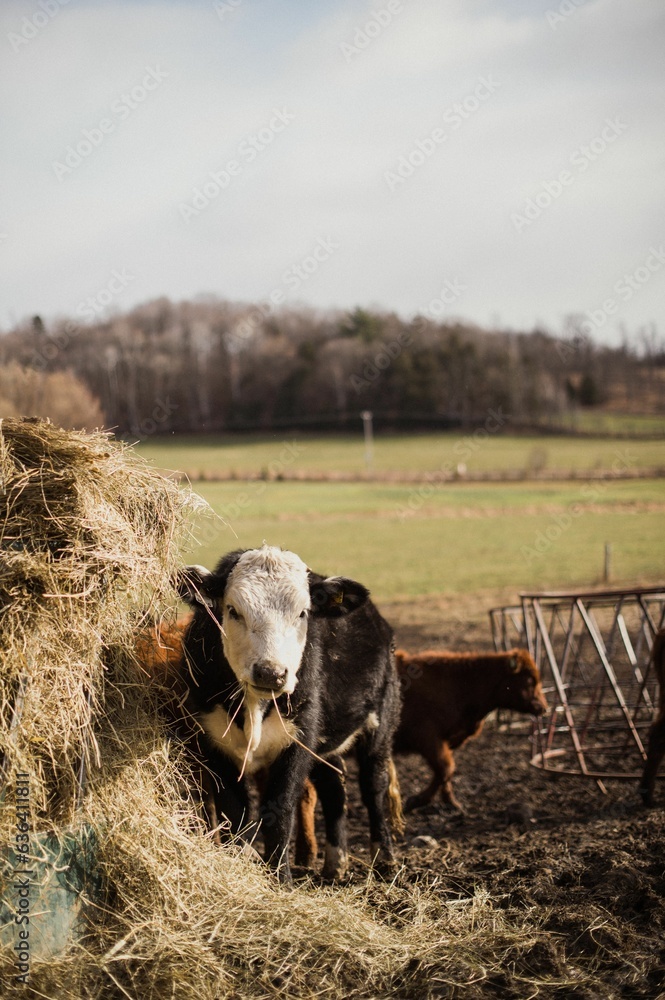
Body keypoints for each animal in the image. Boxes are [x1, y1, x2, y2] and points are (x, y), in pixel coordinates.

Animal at [176, 548, 400, 884]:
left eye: (303, 613)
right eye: (233, 610)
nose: (271, 673)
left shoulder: (297, 742)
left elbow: (279, 812)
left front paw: (280, 879)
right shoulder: (215, 742)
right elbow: (235, 813)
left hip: (381, 726)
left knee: (374, 786)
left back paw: (384, 858)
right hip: (325, 746)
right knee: (334, 787)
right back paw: (336, 863)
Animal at [392, 648, 548, 812]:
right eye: (530, 680)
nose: (544, 708)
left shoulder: (447, 741)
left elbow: (445, 773)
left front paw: (451, 802)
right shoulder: (428, 738)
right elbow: (445, 768)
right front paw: (417, 800)